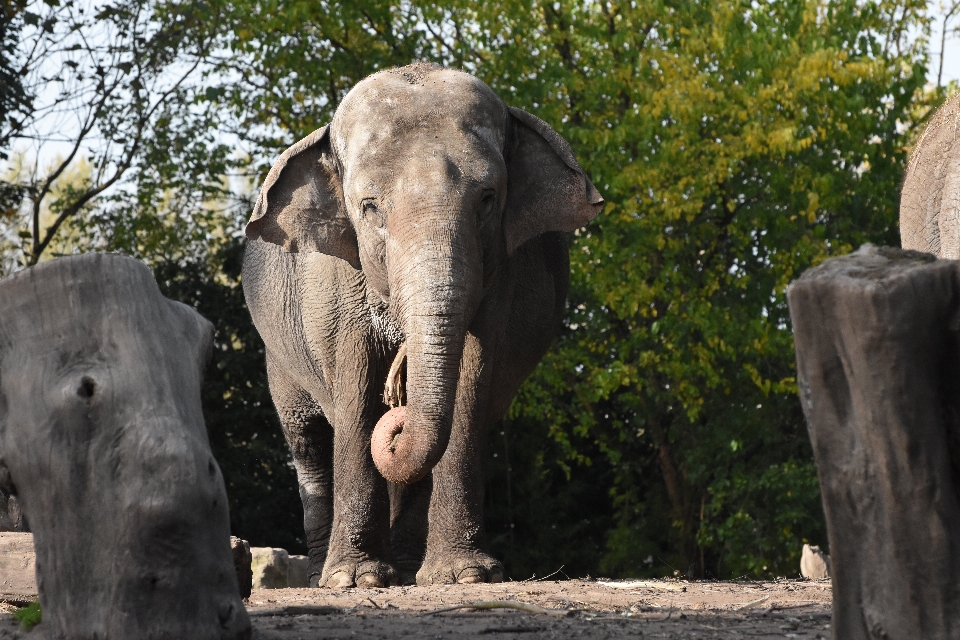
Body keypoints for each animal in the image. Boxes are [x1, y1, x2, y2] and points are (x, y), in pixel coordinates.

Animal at [240, 62, 600, 588]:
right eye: (369, 207)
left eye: (488, 199)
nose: (400, 395)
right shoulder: (333, 282)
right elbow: (356, 387)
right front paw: (355, 580)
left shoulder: (500, 280)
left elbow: (470, 386)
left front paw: (464, 576)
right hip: (278, 352)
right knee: (306, 437)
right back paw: (323, 574)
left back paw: (410, 569)